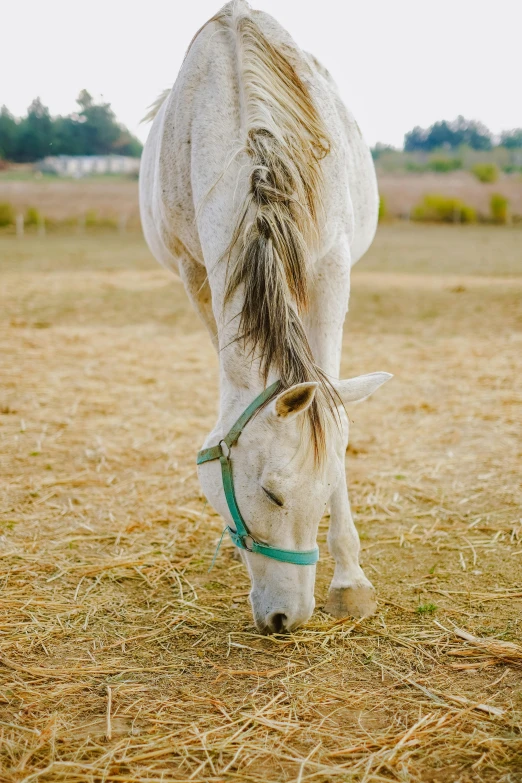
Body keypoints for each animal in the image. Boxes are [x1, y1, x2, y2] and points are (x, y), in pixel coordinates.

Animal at [140, 0, 388, 632]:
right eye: (273, 495)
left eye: (324, 491)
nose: (287, 619)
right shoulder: (197, 274)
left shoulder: (332, 266)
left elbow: (333, 413)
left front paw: (350, 579)